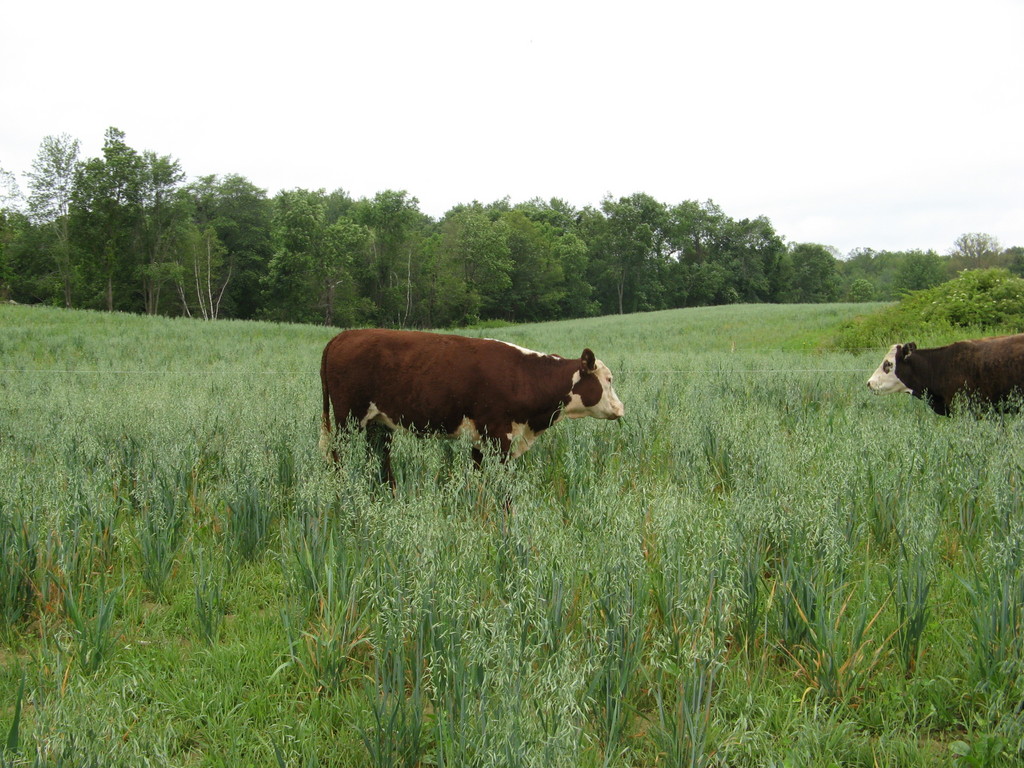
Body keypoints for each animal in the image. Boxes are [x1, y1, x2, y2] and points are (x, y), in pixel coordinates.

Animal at [319, 329, 625, 483]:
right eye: (609, 379)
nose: (621, 408)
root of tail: (344, 335)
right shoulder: (499, 436)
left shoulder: (481, 438)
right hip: (348, 419)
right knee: (339, 456)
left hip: (378, 424)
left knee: (379, 461)